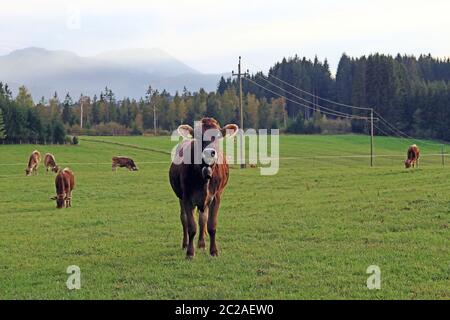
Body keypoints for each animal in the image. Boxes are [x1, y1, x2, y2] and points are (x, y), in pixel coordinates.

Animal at [169, 117, 239, 260]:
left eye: (218, 136)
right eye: (196, 136)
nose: (208, 153)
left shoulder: (216, 197)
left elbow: (211, 225)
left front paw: (214, 251)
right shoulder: (187, 198)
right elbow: (191, 226)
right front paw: (190, 253)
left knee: (203, 219)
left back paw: (201, 244)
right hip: (180, 198)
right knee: (183, 218)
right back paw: (185, 244)